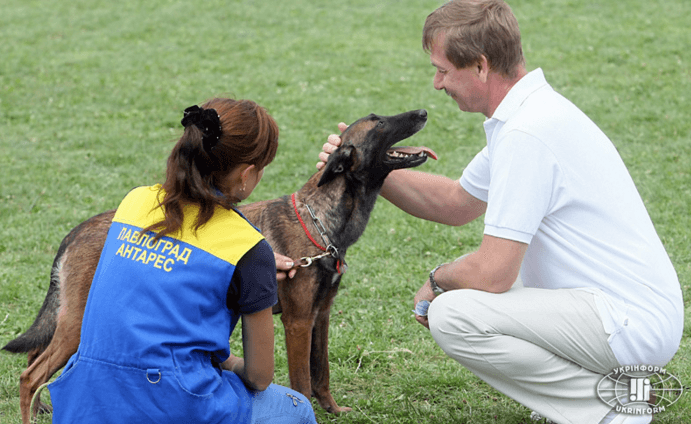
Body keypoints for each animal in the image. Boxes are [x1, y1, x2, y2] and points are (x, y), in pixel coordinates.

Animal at [4, 108, 438, 420]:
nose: (422, 111)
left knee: (35, 358)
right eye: (378, 122)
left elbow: (322, 373)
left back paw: (44, 409)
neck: (320, 217)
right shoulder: (297, 322)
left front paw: (332, 410)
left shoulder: (322, 316)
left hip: (69, 321)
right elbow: (301, 382)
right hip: (78, 323)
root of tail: (76, 231)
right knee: (30, 374)